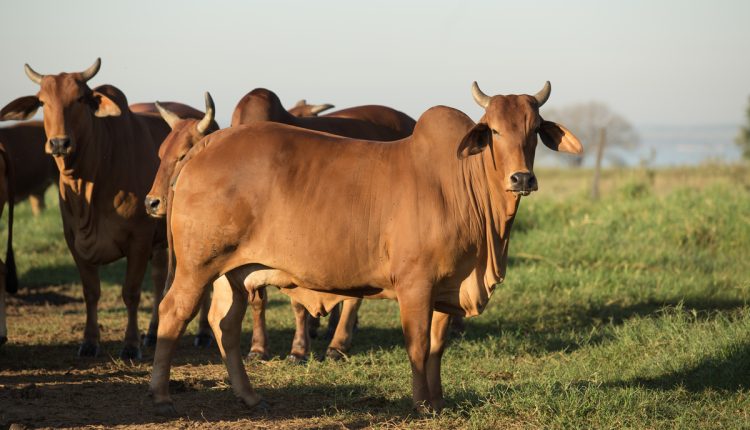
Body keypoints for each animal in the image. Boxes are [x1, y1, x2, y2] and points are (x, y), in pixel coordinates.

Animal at [0, 58, 167, 360]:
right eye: (42, 101)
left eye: (79, 99)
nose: (59, 143)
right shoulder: (74, 241)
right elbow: (91, 292)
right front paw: (89, 341)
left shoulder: (139, 239)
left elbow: (131, 293)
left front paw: (130, 344)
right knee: (161, 280)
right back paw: (153, 332)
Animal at [150, 81, 588, 414]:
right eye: (493, 130)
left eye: (534, 129)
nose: (522, 178)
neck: (462, 182)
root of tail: (205, 148)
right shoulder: (415, 284)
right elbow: (417, 345)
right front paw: (420, 404)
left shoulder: (447, 288)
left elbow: (437, 347)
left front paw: (438, 400)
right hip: (197, 267)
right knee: (173, 313)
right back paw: (161, 395)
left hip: (234, 273)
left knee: (225, 323)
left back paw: (250, 396)